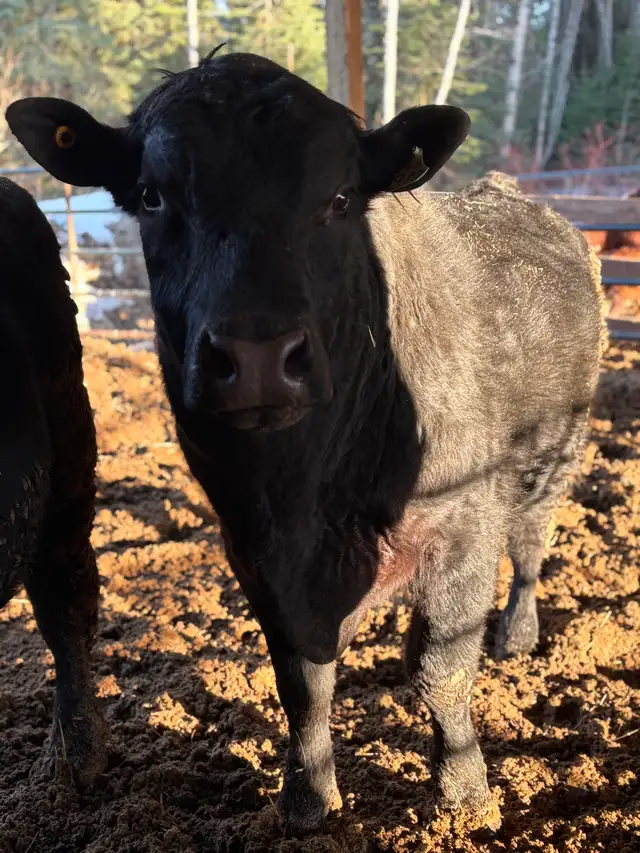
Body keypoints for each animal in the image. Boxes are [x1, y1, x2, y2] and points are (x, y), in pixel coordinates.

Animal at [6, 51, 606, 833]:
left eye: (341, 197)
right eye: (152, 196)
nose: (258, 355)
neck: (309, 483)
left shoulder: (463, 528)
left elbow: (442, 672)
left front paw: (466, 795)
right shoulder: (256, 553)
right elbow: (302, 684)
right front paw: (309, 795)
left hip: (554, 461)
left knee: (531, 550)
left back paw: (519, 634)